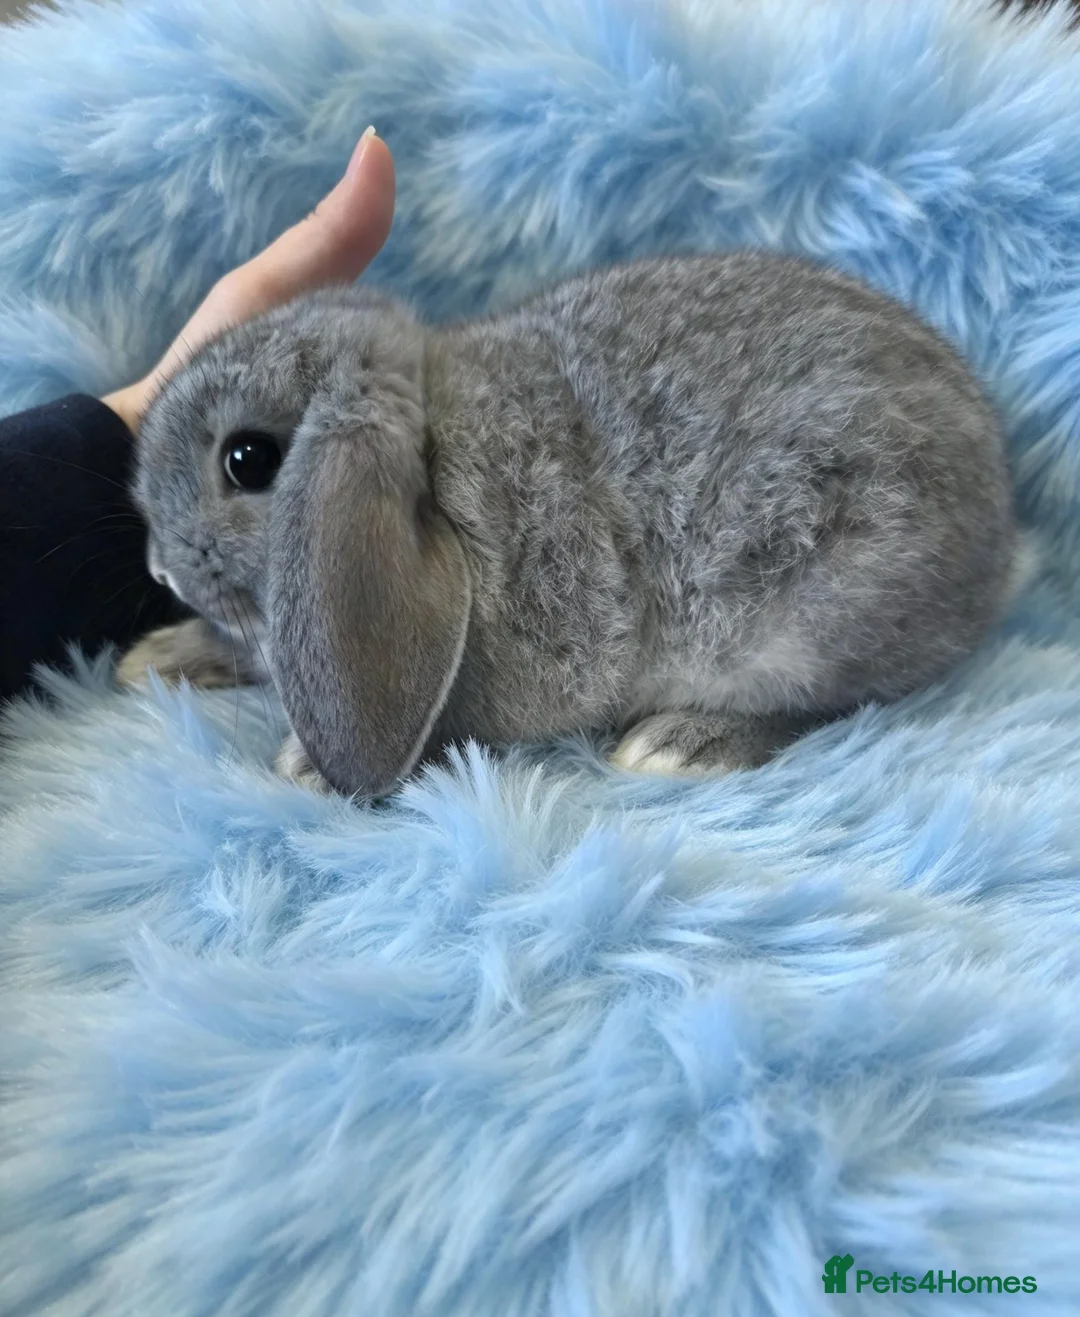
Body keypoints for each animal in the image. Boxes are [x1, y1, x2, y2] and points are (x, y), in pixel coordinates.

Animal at [118, 251, 1018, 796]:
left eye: (248, 460)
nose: (158, 567)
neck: (435, 447)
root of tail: (998, 534)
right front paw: (160, 656)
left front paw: (305, 762)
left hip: (816, 617)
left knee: (830, 705)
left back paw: (681, 743)